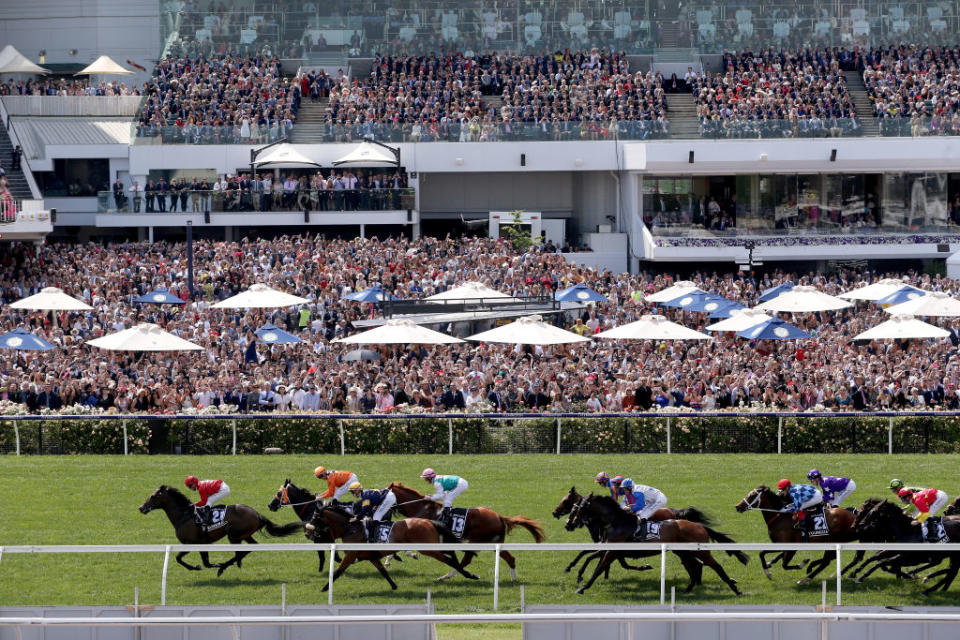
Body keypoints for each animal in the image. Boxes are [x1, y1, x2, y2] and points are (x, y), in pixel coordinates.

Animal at [304, 504, 476, 592]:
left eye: (314, 517)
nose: (307, 532)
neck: (350, 528)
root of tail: (429, 521)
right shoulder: (371, 557)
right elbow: (383, 571)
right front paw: (394, 586)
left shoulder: (351, 554)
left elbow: (338, 572)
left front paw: (324, 588)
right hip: (433, 546)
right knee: (451, 552)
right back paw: (464, 572)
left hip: (428, 549)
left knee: (449, 559)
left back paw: (468, 575)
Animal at [384, 482, 548, 584]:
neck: (420, 508)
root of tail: (499, 517)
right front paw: (390, 560)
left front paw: (408, 555)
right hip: (495, 541)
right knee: (510, 558)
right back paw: (513, 579)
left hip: (477, 540)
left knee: (466, 559)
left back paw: (446, 576)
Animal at [568, 496, 752, 596]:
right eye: (574, 507)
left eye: (580, 506)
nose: (571, 523)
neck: (617, 521)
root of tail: (699, 525)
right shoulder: (612, 550)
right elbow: (596, 561)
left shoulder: (612, 552)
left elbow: (598, 567)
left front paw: (582, 587)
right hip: (683, 552)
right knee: (694, 566)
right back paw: (687, 590)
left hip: (700, 551)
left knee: (715, 566)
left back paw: (735, 589)